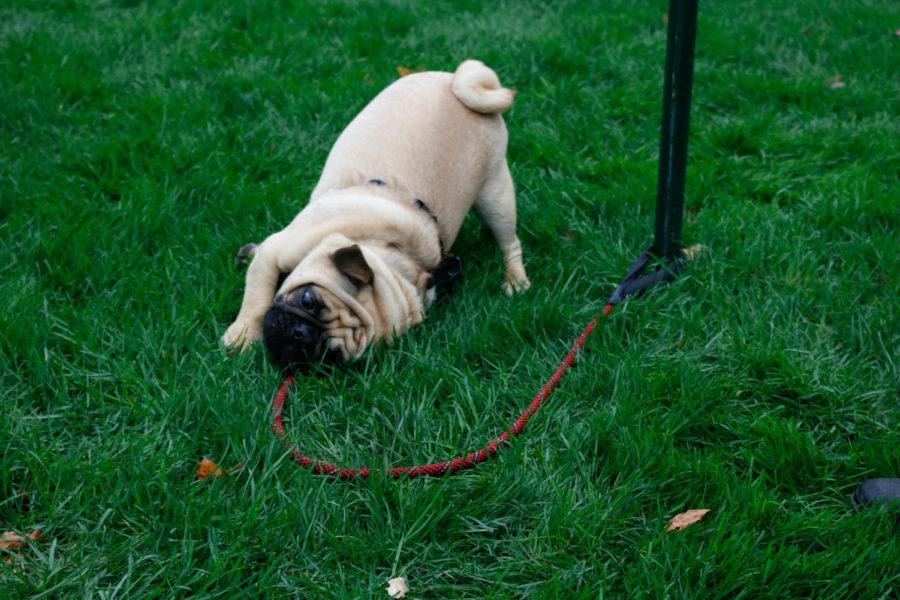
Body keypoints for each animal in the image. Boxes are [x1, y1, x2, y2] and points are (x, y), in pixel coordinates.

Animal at [224, 62, 532, 370]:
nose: (302, 335)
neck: (393, 250)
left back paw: (515, 282)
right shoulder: (276, 252)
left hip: (496, 195)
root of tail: (454, 79)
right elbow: (256, 297)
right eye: (308, 300)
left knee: (510, 243)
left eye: (332, 357)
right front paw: (241, 337)